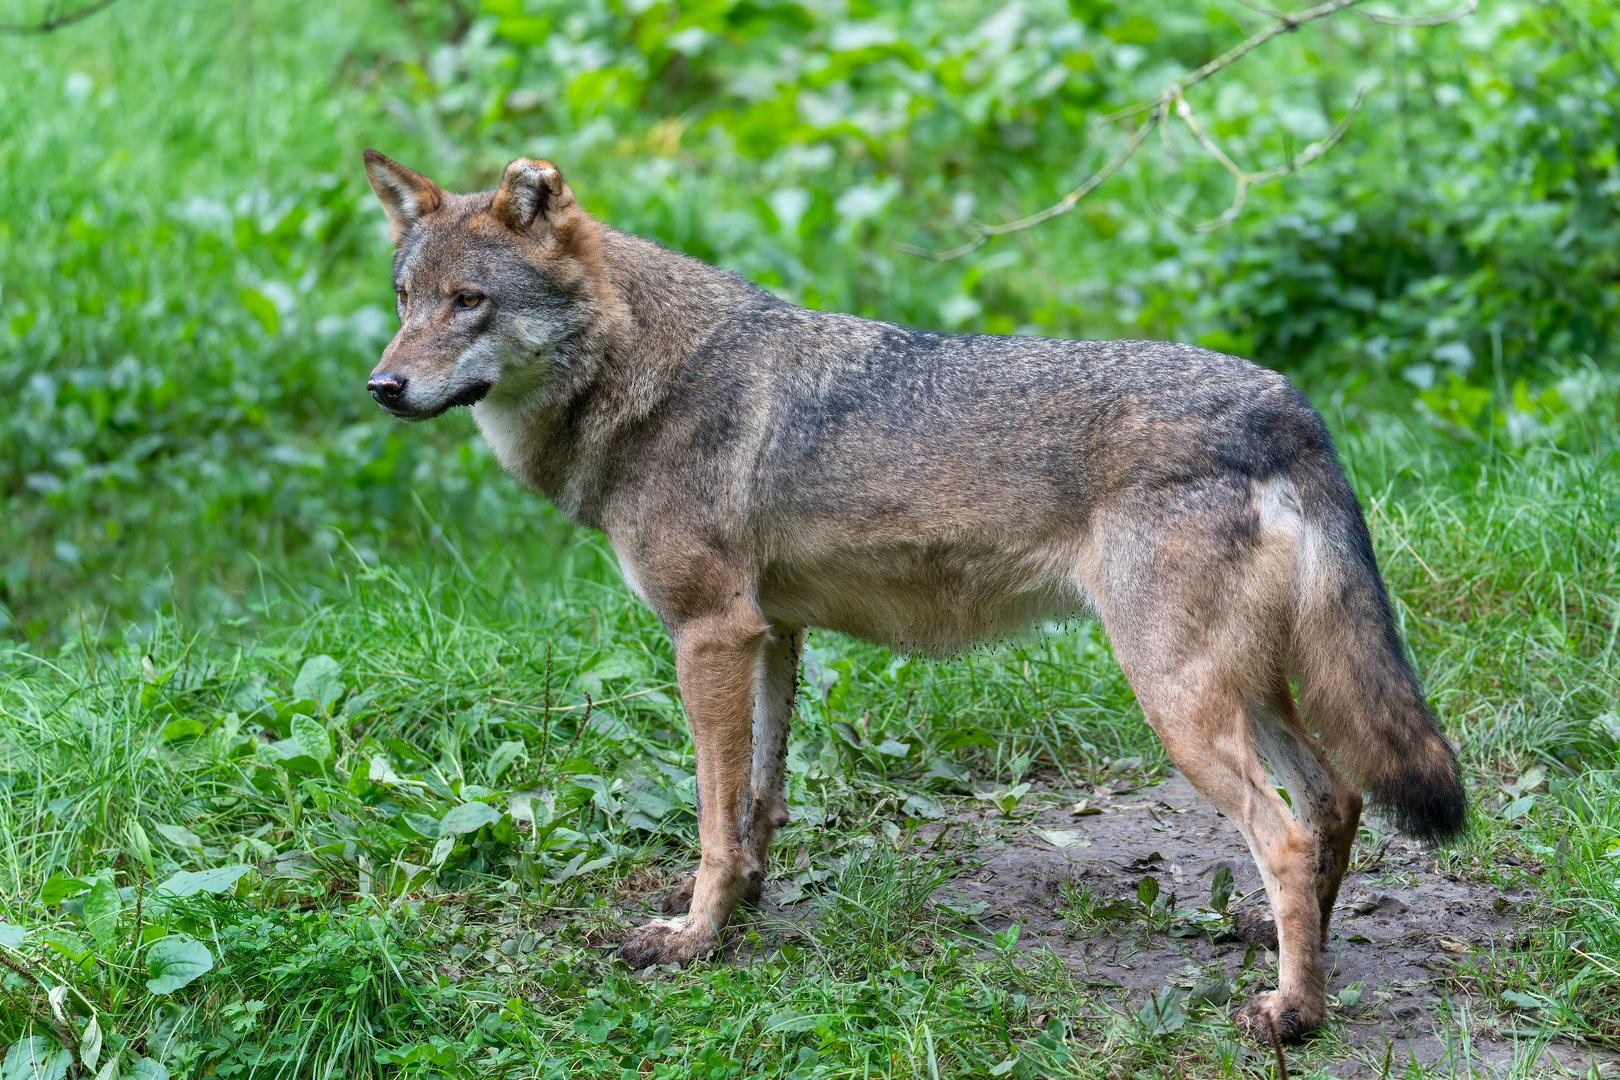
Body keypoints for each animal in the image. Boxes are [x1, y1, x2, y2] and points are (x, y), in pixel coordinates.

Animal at [360, 150, 1465, 1043]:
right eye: (406, 298)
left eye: (470, 301)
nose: (382, 388)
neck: (640, 371)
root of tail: (1290, 405)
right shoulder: (773, 635)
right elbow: (757, 802)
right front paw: (743, 907)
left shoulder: (708, 634)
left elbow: (714, 818)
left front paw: (692, 939)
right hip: (1248, 689)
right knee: (1336, 797)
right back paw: (1282, 950)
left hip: (1177, 700)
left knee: (1284, 831)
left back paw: (1293, 1014)